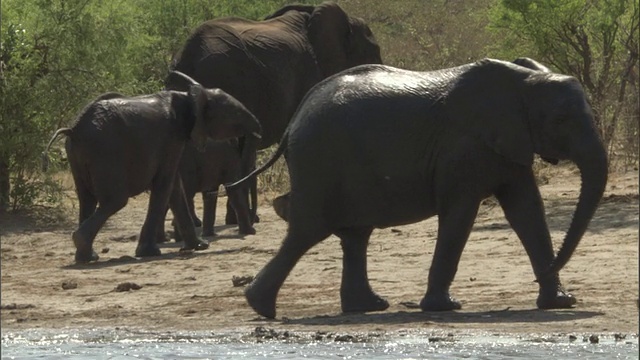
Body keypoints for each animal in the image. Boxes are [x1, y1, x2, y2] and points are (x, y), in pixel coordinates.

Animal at [43, 72, 262, 264]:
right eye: (234, 111)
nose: (257, 129)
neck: (188, 96)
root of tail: (74, 129)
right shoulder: (171, 137)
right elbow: (165, 184)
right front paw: (149, 252)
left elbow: (175, 187)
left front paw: (199, 246)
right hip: (105, 152)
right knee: (115, 200)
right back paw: (82, 245)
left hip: (77, 155)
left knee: (86, 198)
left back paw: (87, 257)